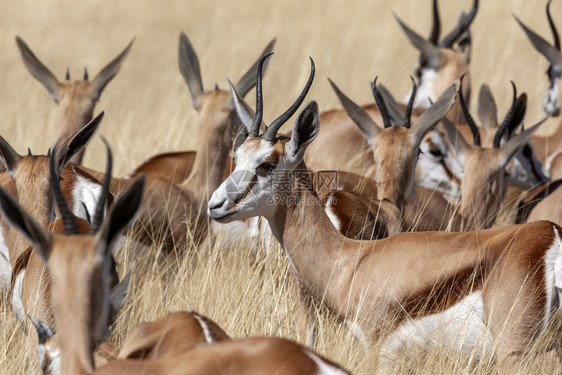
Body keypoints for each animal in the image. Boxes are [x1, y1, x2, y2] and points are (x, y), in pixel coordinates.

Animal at [208, 56, 560, 374]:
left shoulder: (376, 349)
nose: (215, 205)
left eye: (267, 163)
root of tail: (550, 236)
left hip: (512, 354)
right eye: (237, 155)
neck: (349, 262)